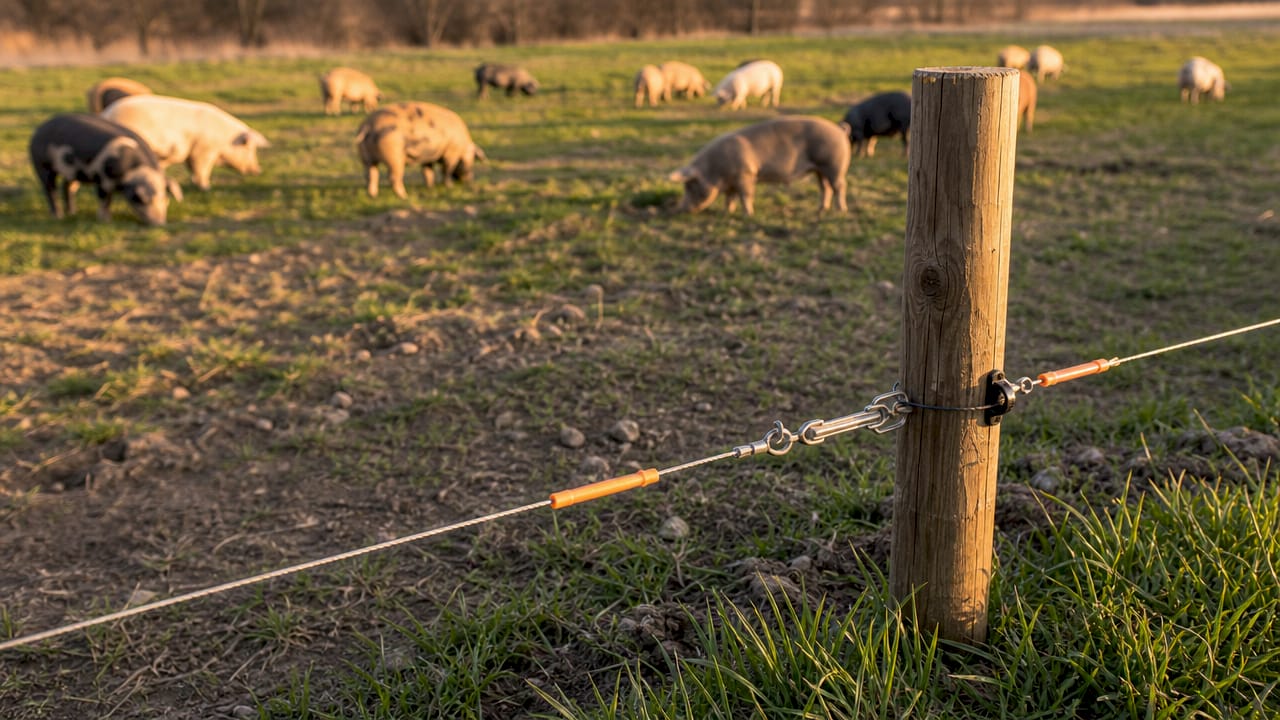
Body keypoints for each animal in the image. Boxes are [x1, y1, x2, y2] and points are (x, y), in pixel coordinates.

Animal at [29, 113, 179, 226]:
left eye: (164, 197)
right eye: (141, 199)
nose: (160, 224)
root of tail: (38, 130)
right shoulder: (103, 177)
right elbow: (105, 199)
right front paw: (106, 221)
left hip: (72, 171)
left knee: (67, 186)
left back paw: (72, 213)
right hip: (41, 164)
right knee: (49, 188)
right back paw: (58, 216)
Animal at [101, 95, 270, 191]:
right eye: (249, 148)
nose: (258, 170)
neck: (224, 139)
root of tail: (106, 115)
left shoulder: (192, 152)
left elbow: (192, 168)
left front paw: (195, 183)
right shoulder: (204, 150)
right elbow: (202, 168)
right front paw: (206, 187)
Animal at [355, 101, 486, 199]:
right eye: (472, 160)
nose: (469, 180)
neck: (463, 146)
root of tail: (368, 126)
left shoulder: (428, 157)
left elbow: (427, 172)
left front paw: (430, 187)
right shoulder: (451, 152)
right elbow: (447, 170)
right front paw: (449, 186)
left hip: (366, 158)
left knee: (370, 175)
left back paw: (372, 195)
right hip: (393, 154)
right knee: (393, 177)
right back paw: (404, 196)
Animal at [668, 116, 849, 216]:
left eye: (690, 186)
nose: (679, 209)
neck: (715, 171)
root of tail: (840, 130)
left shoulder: (746, 174)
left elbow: (746, 196)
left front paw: (748, 215)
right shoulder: (731, 183)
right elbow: (730, 198)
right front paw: (727, 213)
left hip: (834, 165)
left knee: (840, 186)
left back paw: (841, 211)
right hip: (820, 169)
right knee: (825, 188)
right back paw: (821, 210)